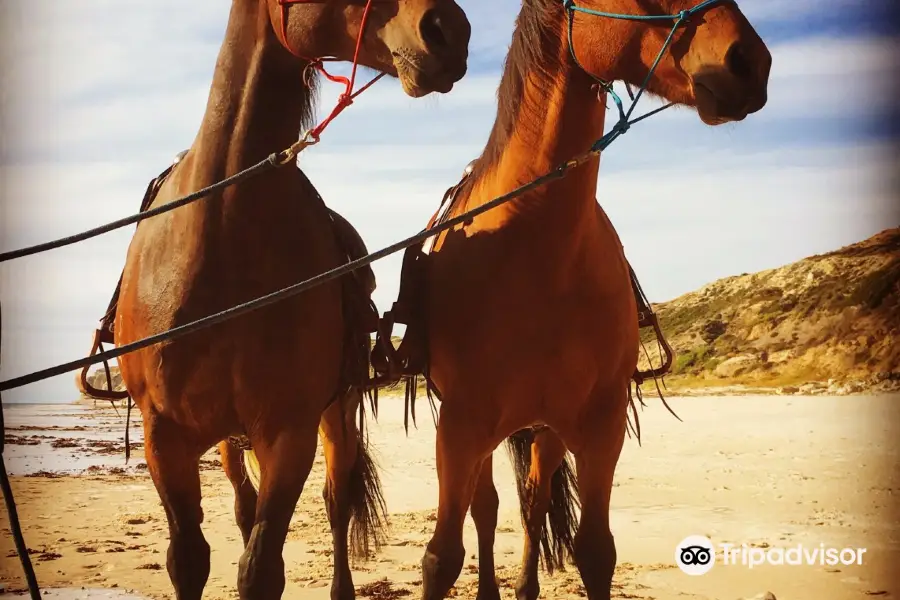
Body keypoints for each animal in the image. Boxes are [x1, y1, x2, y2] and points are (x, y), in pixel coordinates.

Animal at [114, 1, 472, 600]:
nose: (451, 31)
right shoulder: (163, 437)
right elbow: (189, 558)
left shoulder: (288, 432)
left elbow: (261, 567)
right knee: (243, 503)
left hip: (337, 413)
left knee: (336, 502)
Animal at [384, 1, 768, 600]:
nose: (749, 62)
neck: (538, 244)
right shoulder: (461, 424)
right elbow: (442, 557)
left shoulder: (599, 426)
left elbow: (594, 551)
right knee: (486, 507)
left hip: (545, 431)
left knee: (532, 500)